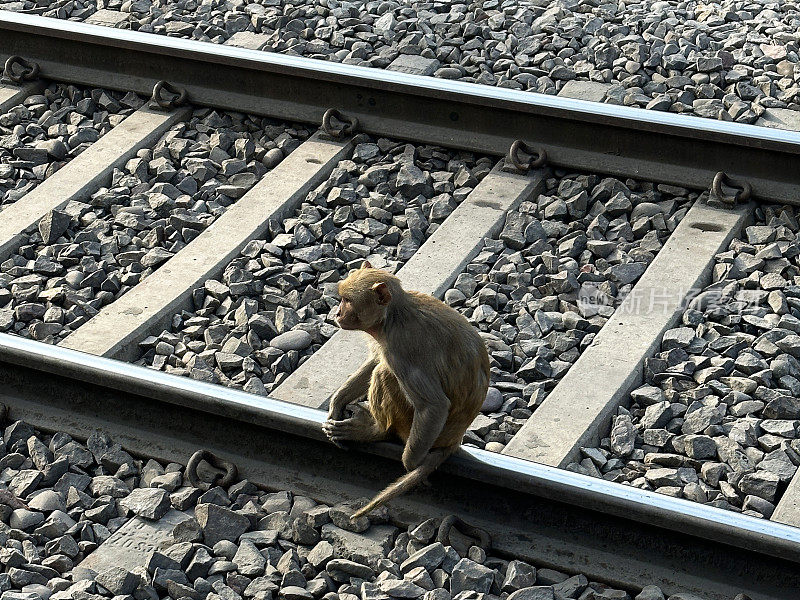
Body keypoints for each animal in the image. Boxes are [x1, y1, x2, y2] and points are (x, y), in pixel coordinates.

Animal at [320, 260, 488, 516]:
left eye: (347, 301)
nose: (337, 313)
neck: (392, 317)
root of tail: (453, 441)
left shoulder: (400, 348)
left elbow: (434, 406)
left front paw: (412, 466)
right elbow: (375, 360)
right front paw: (337, 402)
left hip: (408, 425)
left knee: (385, 375)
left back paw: (375, 431)